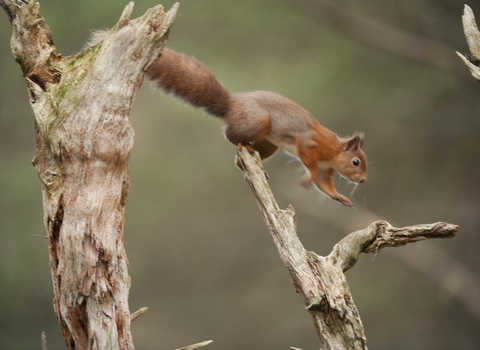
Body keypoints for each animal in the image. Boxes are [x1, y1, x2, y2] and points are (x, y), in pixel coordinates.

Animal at [147, 47, 368, 206]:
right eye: (356, 162)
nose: (364, 180)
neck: (332, 151)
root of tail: (231, 105)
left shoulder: (326, 170)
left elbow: (323, 185)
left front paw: (339, 197)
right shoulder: (309, 143)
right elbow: (311, 168)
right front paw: (307, 179)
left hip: (269, 144)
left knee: (238, 159)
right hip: (259, 121)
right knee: (229, 135)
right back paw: (242, 144)